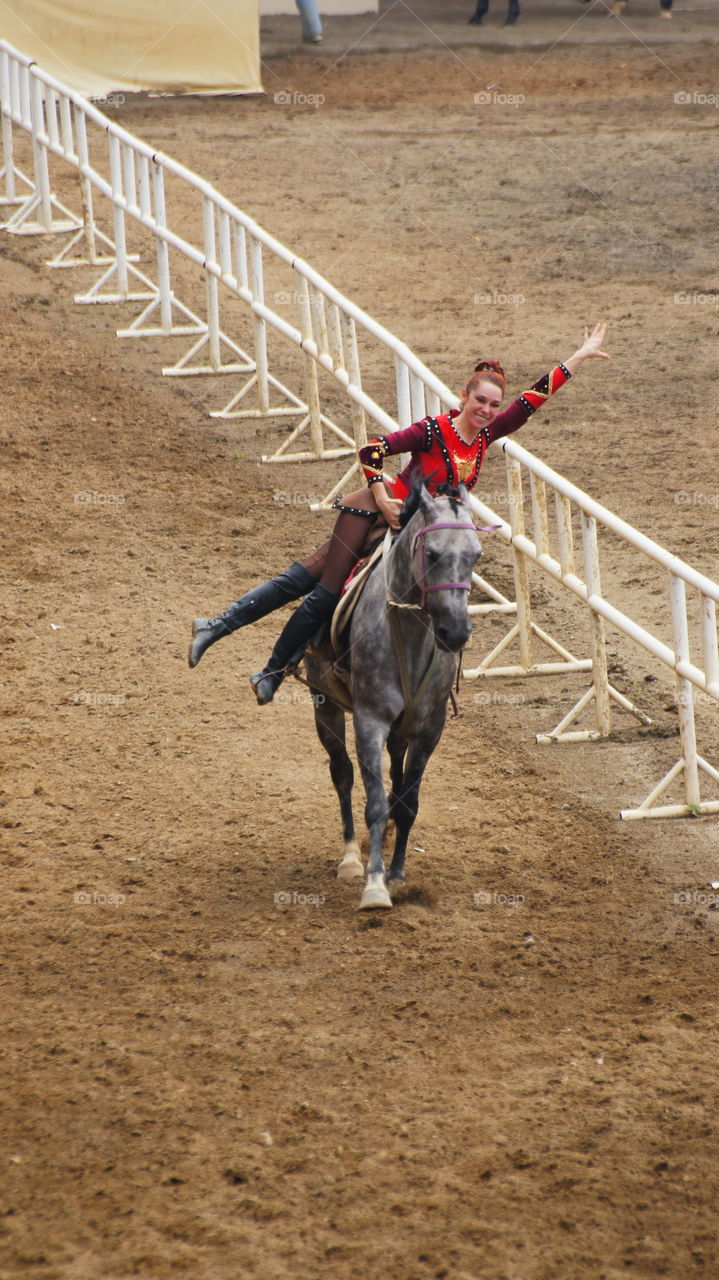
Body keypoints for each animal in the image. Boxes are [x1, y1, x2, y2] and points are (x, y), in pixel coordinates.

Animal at [303, 482, 482, 911]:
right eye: (432, 554)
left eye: (476, 555)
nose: (455, 631)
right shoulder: (370, 721)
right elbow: (375, 804)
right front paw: (375, 885)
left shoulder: (430, 729)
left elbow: (407, 803)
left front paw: (397, 874)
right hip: (324, 704)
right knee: (342, 773)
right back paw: (352, 857)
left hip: (403, 729)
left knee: (396, 777)